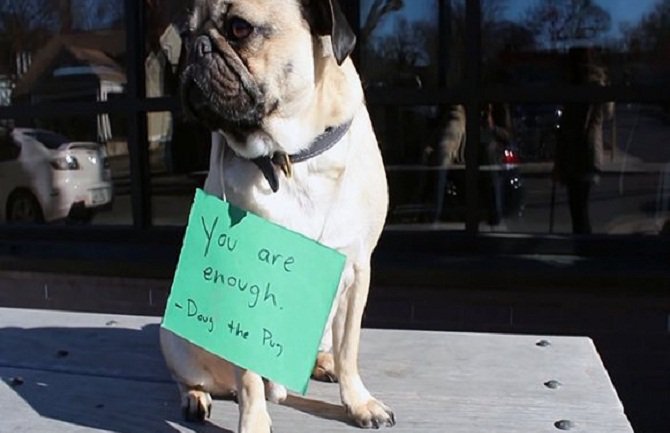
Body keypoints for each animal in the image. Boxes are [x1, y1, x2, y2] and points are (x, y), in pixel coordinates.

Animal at [161, 1, 396, 430]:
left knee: (331, 349)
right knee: (189, 378)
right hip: (177, 342)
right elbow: (249, 378)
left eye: (239, 28)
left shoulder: (357, 271)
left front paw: (358, 402)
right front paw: (253, 421)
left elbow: (350, 349)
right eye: (185, 36)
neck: (287, 156)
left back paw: (323, 363)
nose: (197, 48)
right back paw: (196, 398)